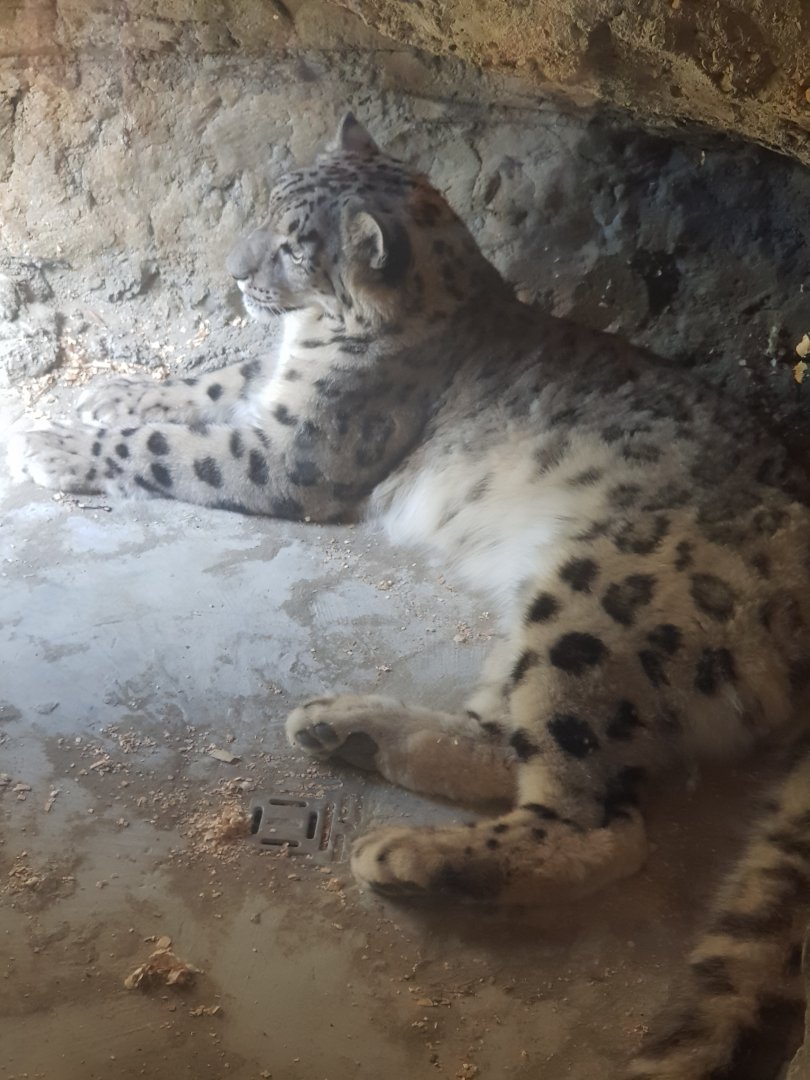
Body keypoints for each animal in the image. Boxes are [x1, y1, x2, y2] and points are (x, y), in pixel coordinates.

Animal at [8, 114, 810, 1079]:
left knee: (598, 818)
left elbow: (176, 445)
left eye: (293, 247)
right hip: (550, 620)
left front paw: (57, 443)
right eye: (266, 207)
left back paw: (409, 854)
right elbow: (207, 381)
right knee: (515, 742)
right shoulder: (263, 389)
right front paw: (108, 390)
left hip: (604, 605)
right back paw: (346, 727)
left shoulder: (293, 451)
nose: (235, 272)